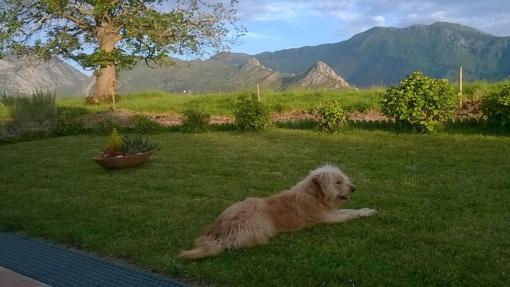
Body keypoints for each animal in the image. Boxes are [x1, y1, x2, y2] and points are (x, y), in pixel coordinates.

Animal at [177, 164, 376, 260]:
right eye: (337, 182)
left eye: (343, 180)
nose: (354, 188)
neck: (315, 194)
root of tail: (217, 231)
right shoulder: (331, 218)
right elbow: (350, 214)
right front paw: (366, 212)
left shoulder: (333, 213)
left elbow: (351, 209)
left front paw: (367, 209)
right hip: (257, 225)